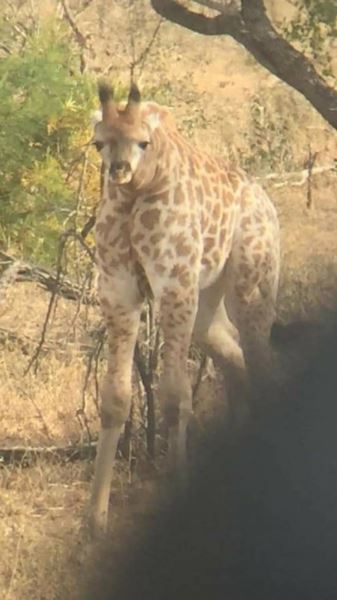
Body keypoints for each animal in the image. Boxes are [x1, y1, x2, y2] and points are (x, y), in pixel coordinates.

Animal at [88, 82, 278, 536]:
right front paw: (95, 518)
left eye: (143, 141)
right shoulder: (118, 291)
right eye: (98, 142)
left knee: (261, 359)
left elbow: (175, 395)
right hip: (207, 304)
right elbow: (114, 398)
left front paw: (177, 487)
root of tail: (269, 204)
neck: (135, 195)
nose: (118, 171)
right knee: (235, 352)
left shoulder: (175, 286)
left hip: (250, 285)